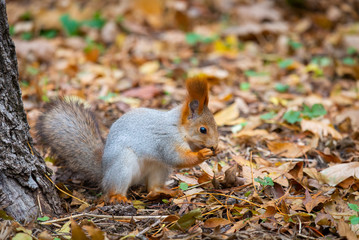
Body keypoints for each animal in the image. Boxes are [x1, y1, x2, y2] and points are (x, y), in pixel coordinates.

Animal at [35, 77, 219, 202]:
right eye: (203, 129)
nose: (215, 145)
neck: (177, 127)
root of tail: (104, 171)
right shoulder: (166, 140)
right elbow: (176, 157)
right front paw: (202, 154)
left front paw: (215, 150)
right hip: (122, 166)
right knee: (111, 189)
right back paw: (118, 197)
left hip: (159, 167)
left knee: (152, 187)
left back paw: (165, 191)